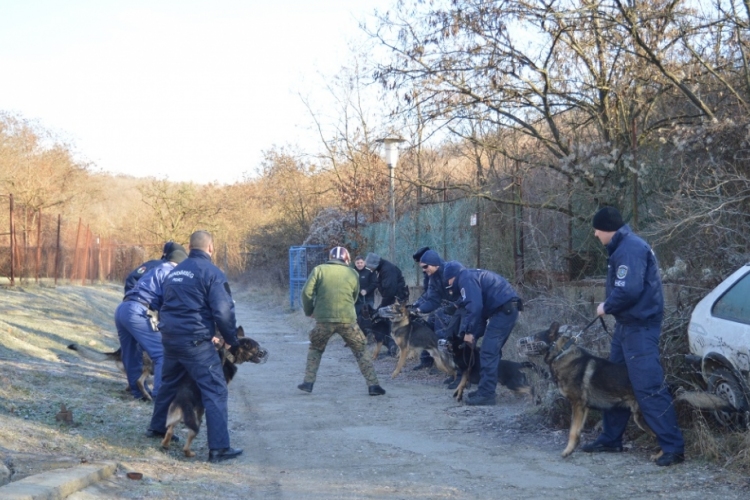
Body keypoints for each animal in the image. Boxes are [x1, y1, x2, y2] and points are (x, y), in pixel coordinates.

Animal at [162, 326, 270, 458]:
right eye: (256, 347)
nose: (265, 352)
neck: (228, 355)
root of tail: (184, 399)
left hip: (176, 417)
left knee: (170, 431)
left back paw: (165, 444)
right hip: (196, 420)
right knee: (189, 437)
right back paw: (189, 452)